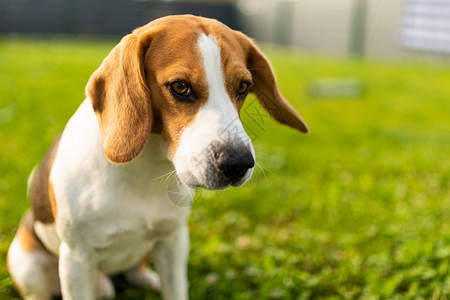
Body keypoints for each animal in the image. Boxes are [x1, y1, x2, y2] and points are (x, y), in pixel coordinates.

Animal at [7, 14, 310, 300]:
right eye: (180, 86)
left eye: (244, 86)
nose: (238, 163)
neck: (146, 170)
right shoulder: (77, 260)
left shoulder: (173, 241)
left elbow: (175, 290)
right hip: (27, 262)